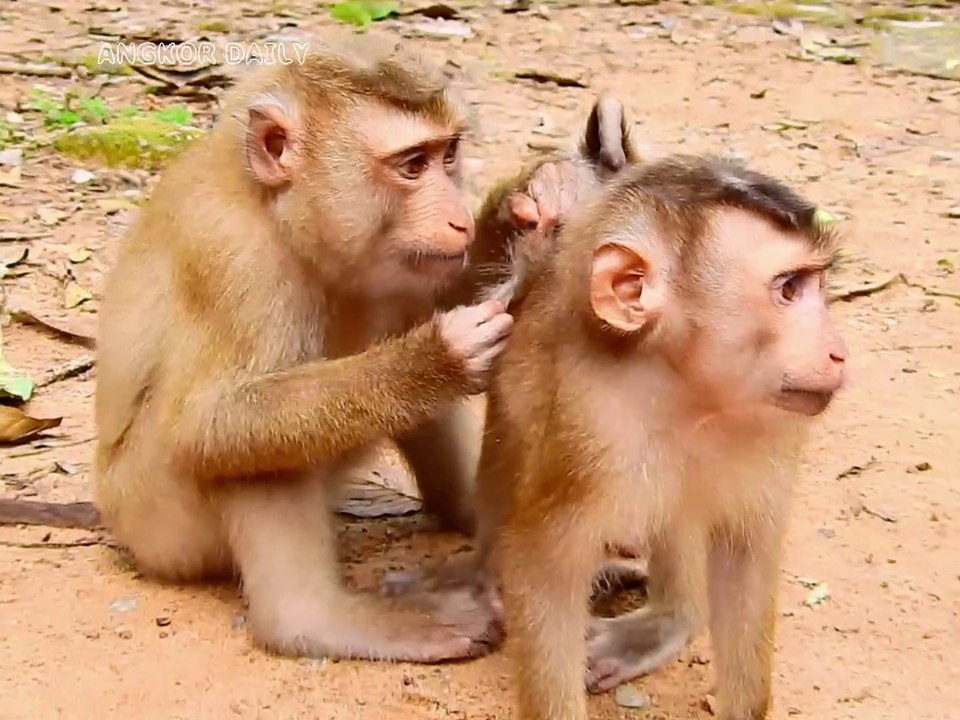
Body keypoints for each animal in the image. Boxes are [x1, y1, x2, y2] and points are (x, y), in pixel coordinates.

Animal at [475, 154, 848, 720]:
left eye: (818, 286)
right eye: (788, 289)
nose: (837, 351)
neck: (685, 390)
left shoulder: (777, 420)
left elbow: (744, 549)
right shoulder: (594, 432)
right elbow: (544, 570)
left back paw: (670, 618)